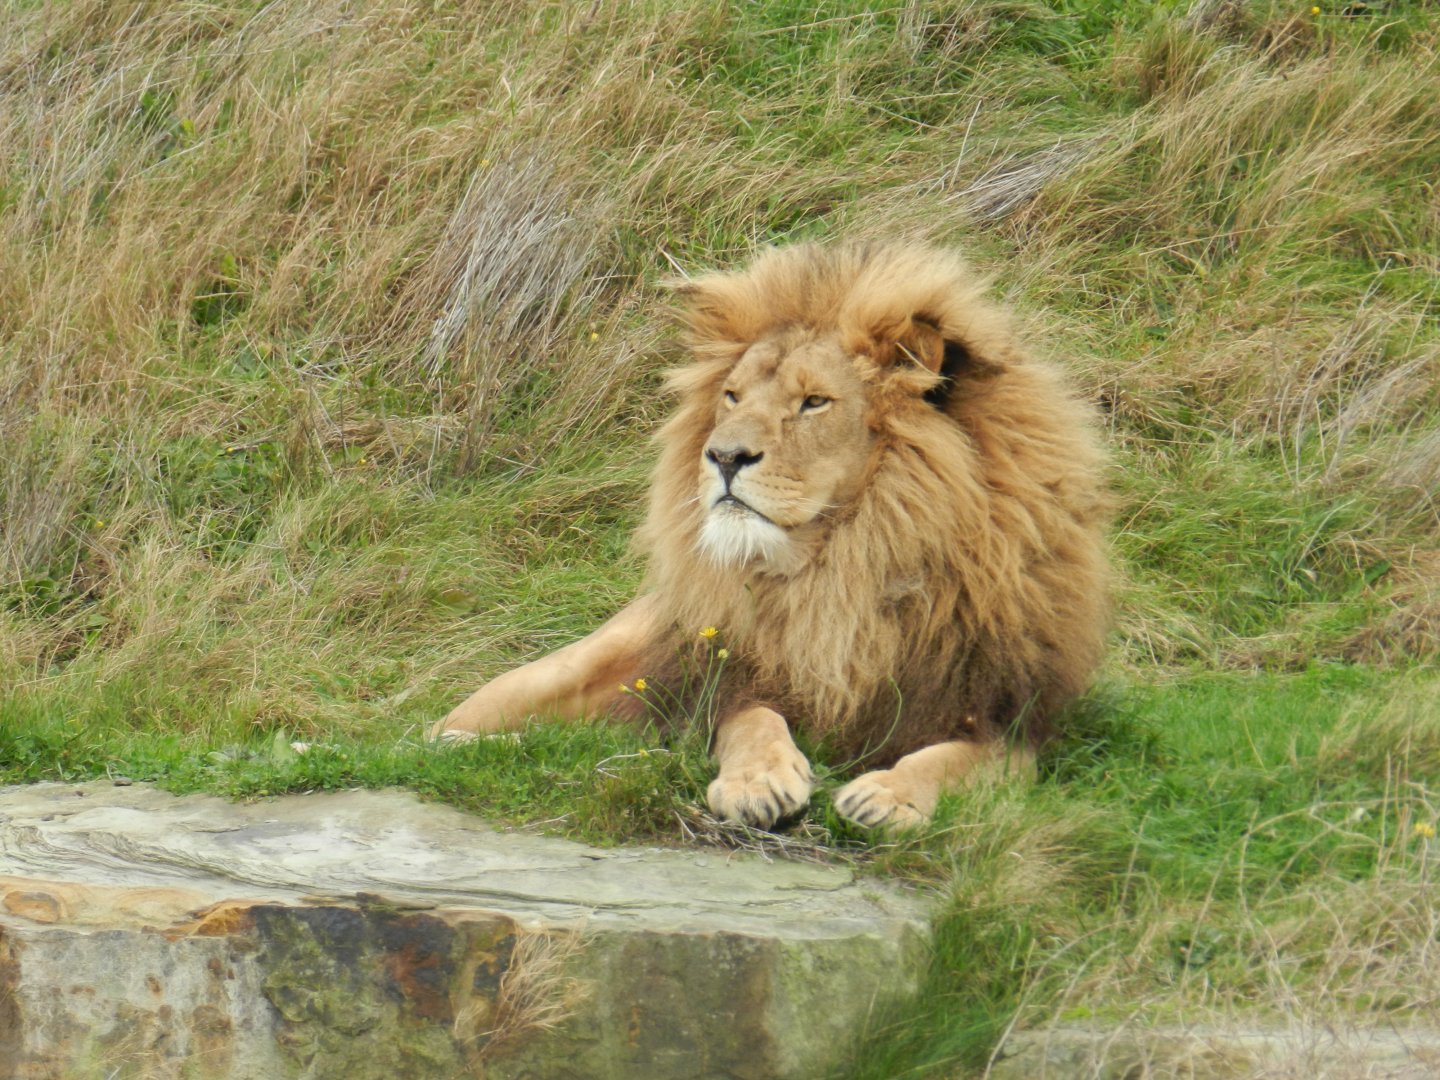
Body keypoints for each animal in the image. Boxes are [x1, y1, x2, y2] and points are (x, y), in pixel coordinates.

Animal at [431, 242, 1111, 829]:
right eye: (732, 396)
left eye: (814, 402)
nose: (724, 456)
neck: (844, 566)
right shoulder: (735, 683)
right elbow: (754, 719)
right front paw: (757, 782)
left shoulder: (1008, 718)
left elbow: (953, 760)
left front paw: (888, 797)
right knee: (445, 732)